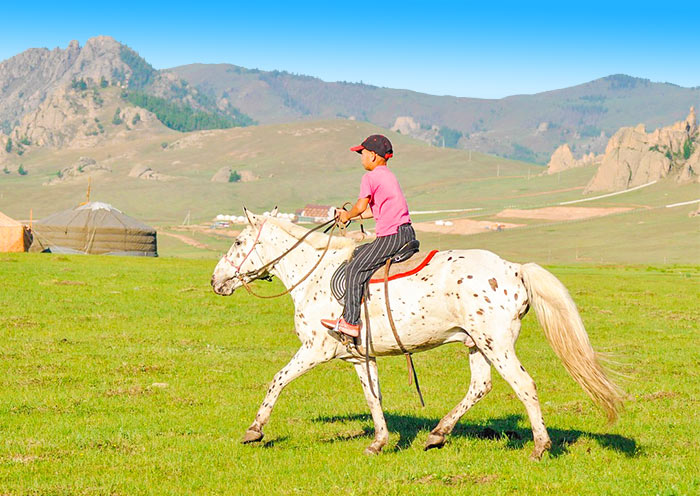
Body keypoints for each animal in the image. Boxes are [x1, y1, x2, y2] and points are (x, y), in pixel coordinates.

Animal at [211, 208, 623, 459]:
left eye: (237, 242)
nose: (215, 281)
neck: (314, 275)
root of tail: (514, 269)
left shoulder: (315, 349)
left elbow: (277, 380)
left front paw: (254, 431)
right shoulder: (359, 357)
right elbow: (373, 398)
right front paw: (379, 443)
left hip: (496, 344)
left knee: (524, 384)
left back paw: (539, 447)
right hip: (476, 344)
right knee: (480, 386)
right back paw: (438, 434)